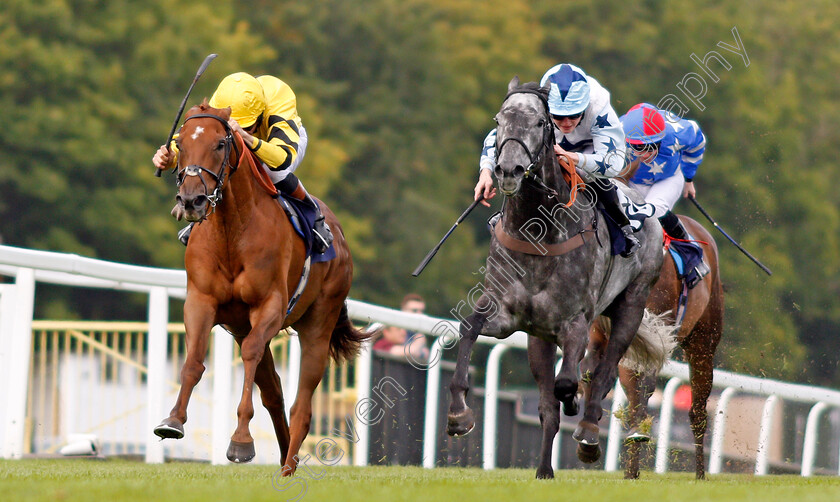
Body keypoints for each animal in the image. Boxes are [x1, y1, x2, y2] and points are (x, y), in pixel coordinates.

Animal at [153, 102, 368, 474]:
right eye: (180, 142)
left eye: (220, 144)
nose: (192, 201)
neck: (231, 233)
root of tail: (340, 234)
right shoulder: (201, 301)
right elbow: (193, 361)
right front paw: (173, 420)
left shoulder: (269, 306)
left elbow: (251, 355)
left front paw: (240, 441)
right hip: (241, 326)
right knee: (274, 392)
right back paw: (284, 456)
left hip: (318, 322)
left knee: (302, 404)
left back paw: (288, 467)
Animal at [446, 77, 676, 478]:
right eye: (499, 120)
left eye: (540, 123)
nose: (508, 170)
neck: (536, 232)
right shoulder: (506, 315)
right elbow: (469, 328)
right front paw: (459, 414)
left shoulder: (575, 322)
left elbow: (570, 380)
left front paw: (575, 403)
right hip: (537, 337)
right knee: (548, 405)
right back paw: (543, 469)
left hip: (632, 304)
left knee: (605, 371)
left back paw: (587, 431)